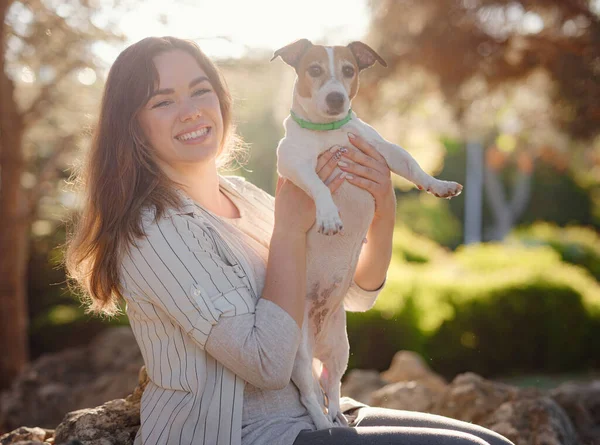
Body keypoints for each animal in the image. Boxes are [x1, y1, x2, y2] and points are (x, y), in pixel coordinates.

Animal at [272, 39, 464, 430]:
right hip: (299, 357)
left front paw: (439, 185)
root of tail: (317, 334)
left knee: (331, 387)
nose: (336, 98)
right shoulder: (294, 164)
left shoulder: (382, 150)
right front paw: (329, 213)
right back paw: (322, 424)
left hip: (341, 349)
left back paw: (338, 417)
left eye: (349, 70)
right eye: (314, 70)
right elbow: (318, 184)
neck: (328, 131)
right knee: (309, 393)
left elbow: (412, 164)